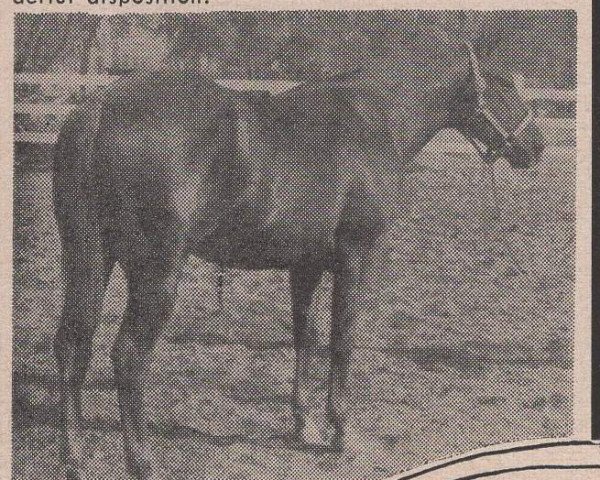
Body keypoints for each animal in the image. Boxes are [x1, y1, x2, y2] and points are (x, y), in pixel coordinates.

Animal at [51, 23, 544, 480]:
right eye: (503, 82)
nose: (535, 145)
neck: (376, 118)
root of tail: (100, 109)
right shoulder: (355, 256)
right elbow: (342, 338)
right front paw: (340, 433)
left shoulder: (305, 265)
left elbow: (305, 337)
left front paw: (304, 425)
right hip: (157, 273)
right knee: (128, 357)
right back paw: (143, 462)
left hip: (89, 260)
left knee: (72, 345)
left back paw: (74, 457)